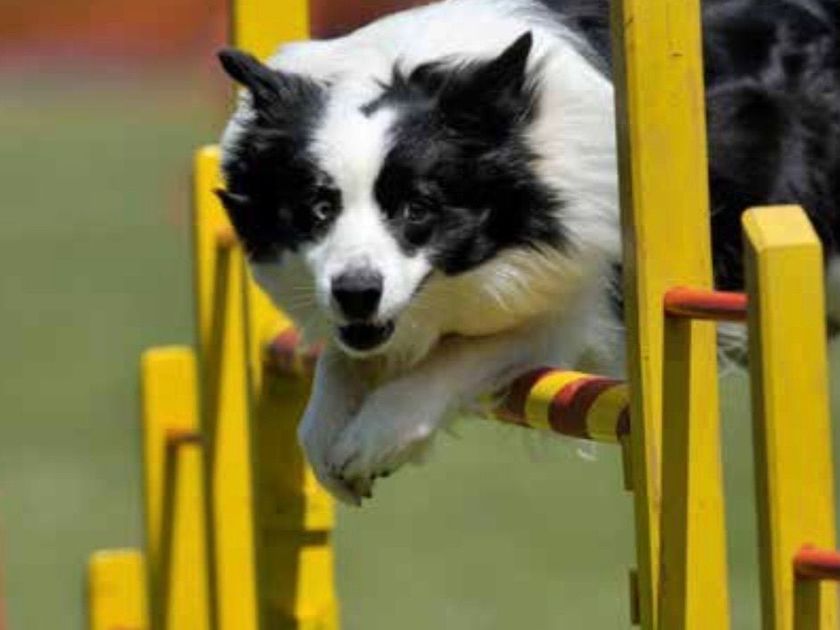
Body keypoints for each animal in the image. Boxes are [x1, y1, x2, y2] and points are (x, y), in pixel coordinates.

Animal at [216, 0, 840, 504]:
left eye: (418, 207)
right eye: (318, 206)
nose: (356, 292)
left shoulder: (576, 304)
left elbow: (457, 356)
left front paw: (375, 435)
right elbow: (341, 360)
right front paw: (326, 429)